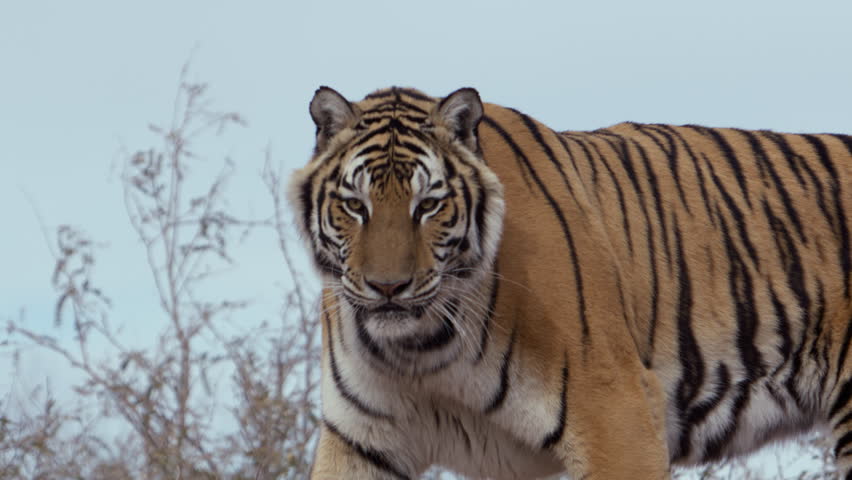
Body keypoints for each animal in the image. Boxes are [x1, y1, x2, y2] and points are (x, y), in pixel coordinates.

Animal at [287, 85, 852, 479]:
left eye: (428, 205)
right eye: (354, 205)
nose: (388, 288)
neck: (421, 352)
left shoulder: (616, 410)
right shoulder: (360, 440)